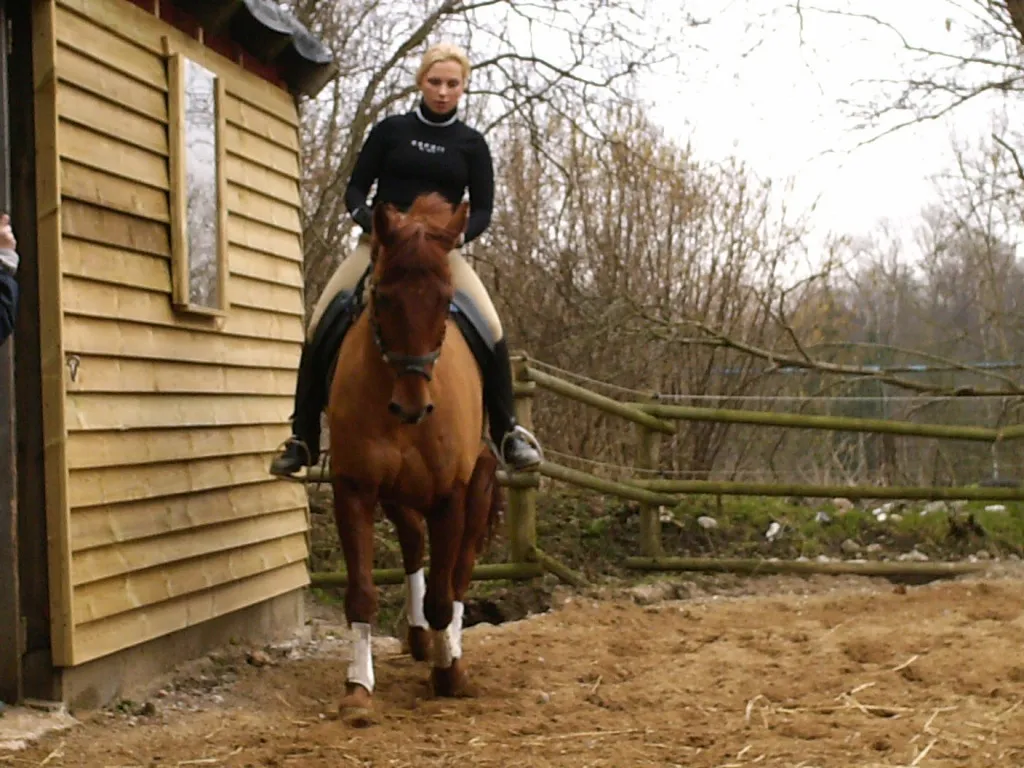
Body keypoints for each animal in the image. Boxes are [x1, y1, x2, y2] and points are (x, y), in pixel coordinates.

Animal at [325, 192, 503, 725]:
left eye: (446, 301)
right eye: (383, 297)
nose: (411, 408)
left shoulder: (452, 496)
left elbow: (448, 592)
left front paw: (450, 675)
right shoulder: (355, 489)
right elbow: (362, 592)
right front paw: (358, 689)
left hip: (477, 489)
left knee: (459, 573)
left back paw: (446, 648)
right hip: (397, 495)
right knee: (412, 543)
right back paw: (420, 636)